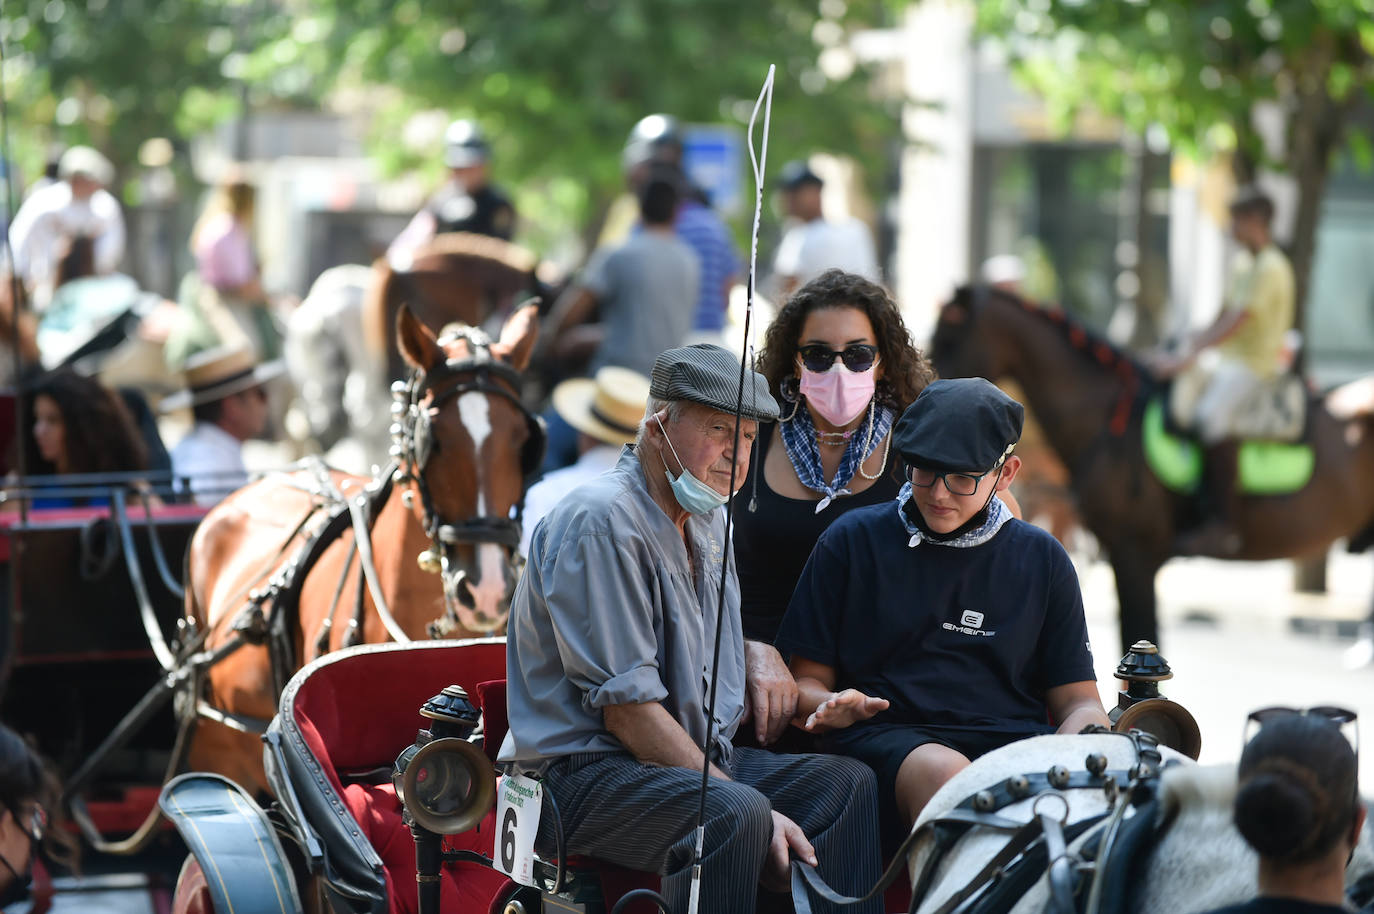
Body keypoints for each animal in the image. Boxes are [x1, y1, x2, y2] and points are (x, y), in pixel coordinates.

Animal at [930, 286, 1374, 653]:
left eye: (947, 337)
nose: (927, 396)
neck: (1107, 418)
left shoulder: (1134, 554)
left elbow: (1140, 633)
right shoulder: (1125, 555)